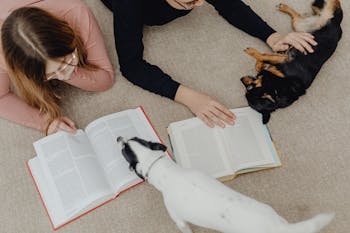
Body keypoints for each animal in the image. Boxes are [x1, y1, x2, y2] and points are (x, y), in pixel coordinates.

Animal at [117, 137, 334, 233]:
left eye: (123, 149)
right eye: (133, 138)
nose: (119, 137)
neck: (165, 170)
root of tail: (277, 227)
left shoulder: (179, 219)